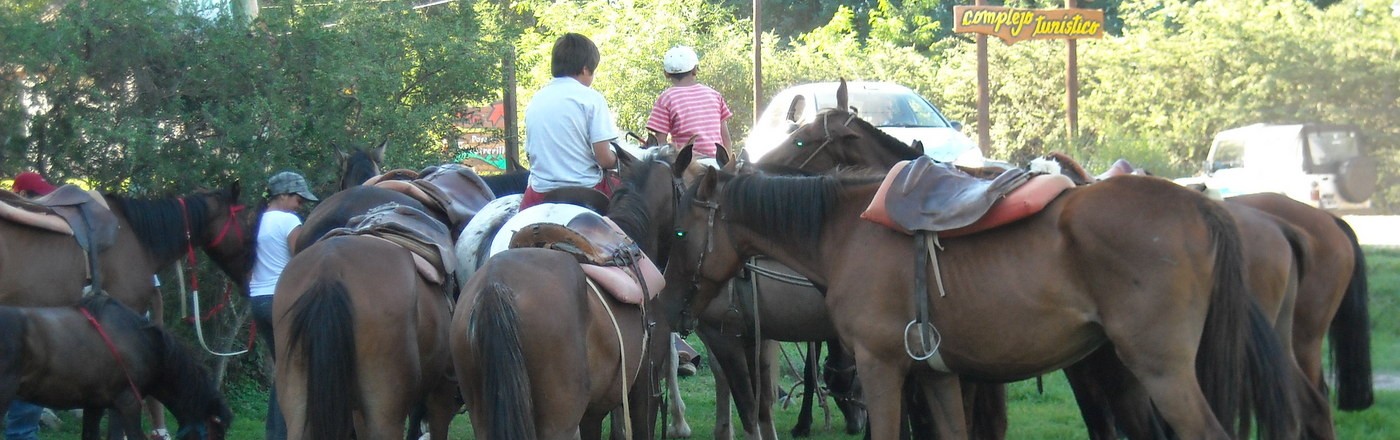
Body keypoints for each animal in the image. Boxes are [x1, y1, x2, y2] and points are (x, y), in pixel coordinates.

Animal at [666, 163, 1299, 440]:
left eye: (676, 232)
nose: (672, 308)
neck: (842, 230)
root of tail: (1202, 203)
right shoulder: (937, 374)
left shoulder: (880, 367)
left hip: (1161, 370)